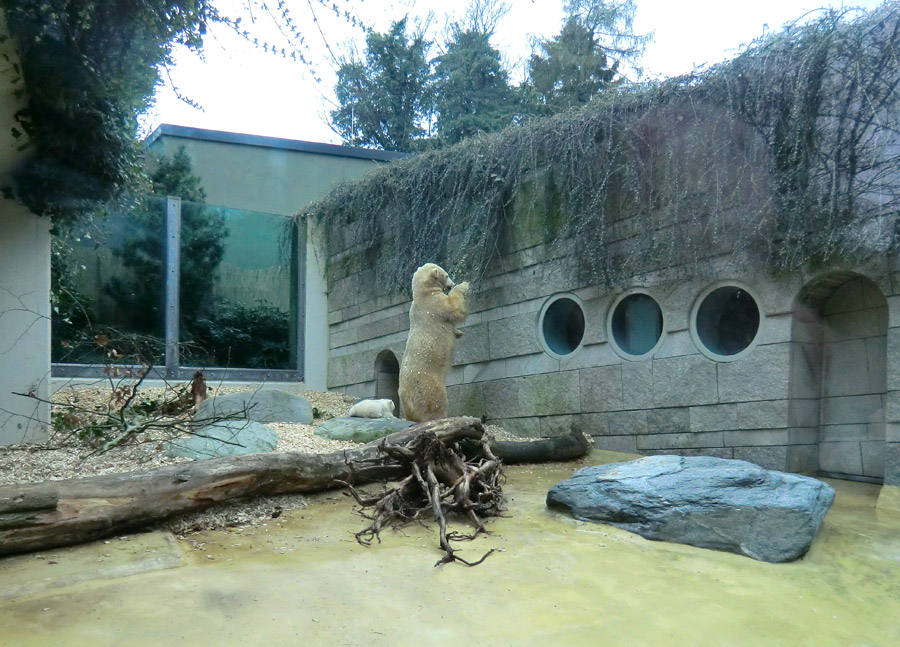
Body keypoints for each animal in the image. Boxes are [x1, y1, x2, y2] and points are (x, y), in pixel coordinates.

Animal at [400, 264, 472, 426]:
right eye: (447, 275)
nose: (451, 283)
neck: (422, 294)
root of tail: (405, 393)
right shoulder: (435, 304)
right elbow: (454, 307)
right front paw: (463, 285)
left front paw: (459, 333)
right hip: (428, 384)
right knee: (435, 402)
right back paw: (441, 418)